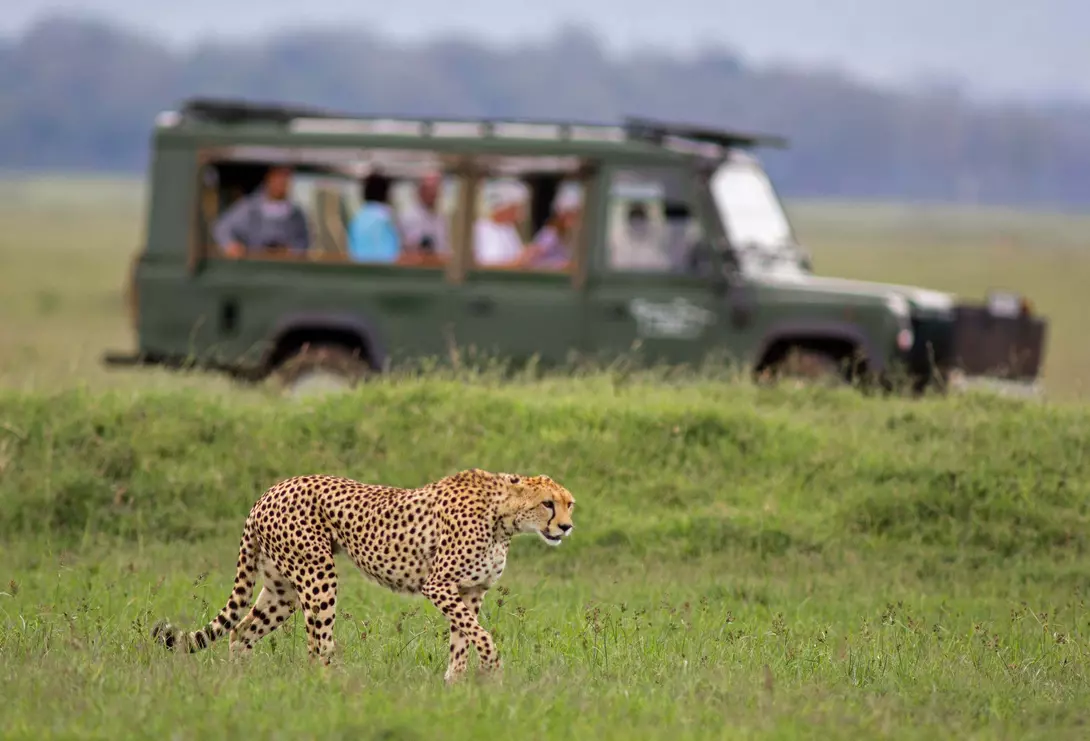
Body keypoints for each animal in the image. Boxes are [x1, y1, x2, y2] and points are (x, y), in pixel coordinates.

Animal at [150, 468, 576, 682]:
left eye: (569, 504)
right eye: (547, 504)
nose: (567, 527)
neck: (504, 518)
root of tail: (269, 492)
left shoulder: (470, 592)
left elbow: (463, 640)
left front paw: (456, 686)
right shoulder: (439, 585)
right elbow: (480, 635)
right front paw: (493, 670)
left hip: (282, 590)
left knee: (240, 632)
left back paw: (241, 685)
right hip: (318, 575)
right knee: (316, 645)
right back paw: (333, 688)